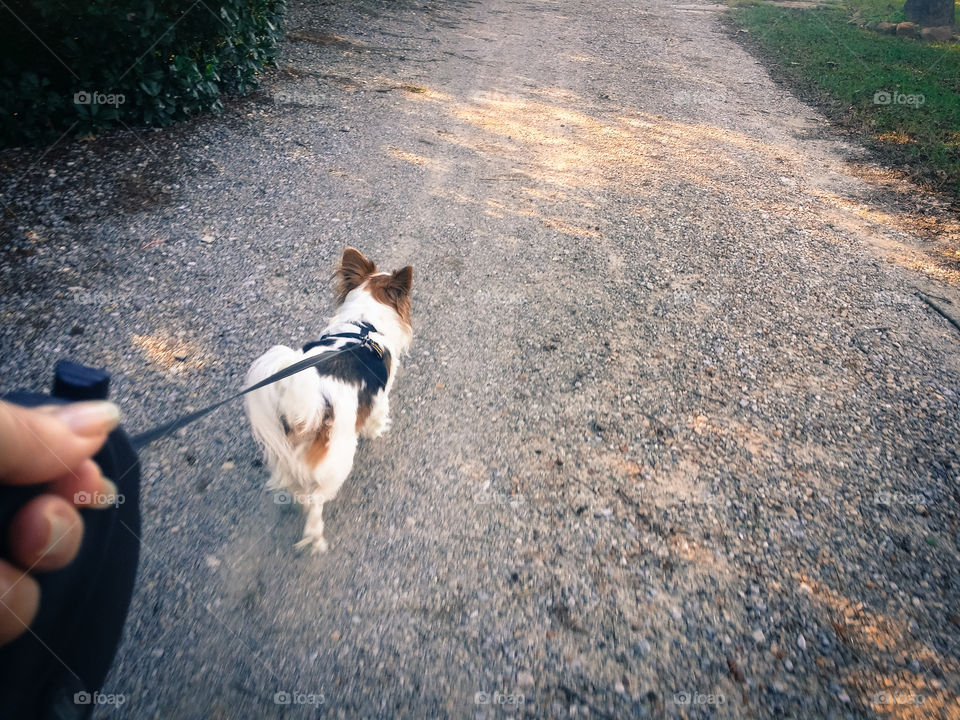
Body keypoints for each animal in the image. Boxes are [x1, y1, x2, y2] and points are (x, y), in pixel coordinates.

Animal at [242, 248, 410, 552]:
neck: (364, 324)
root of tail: (304, 414)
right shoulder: (381, 397)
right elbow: (377, 417)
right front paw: (377, 431)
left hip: (284, 457)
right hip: (338, 461)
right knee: (315, 501)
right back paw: (315, 537)